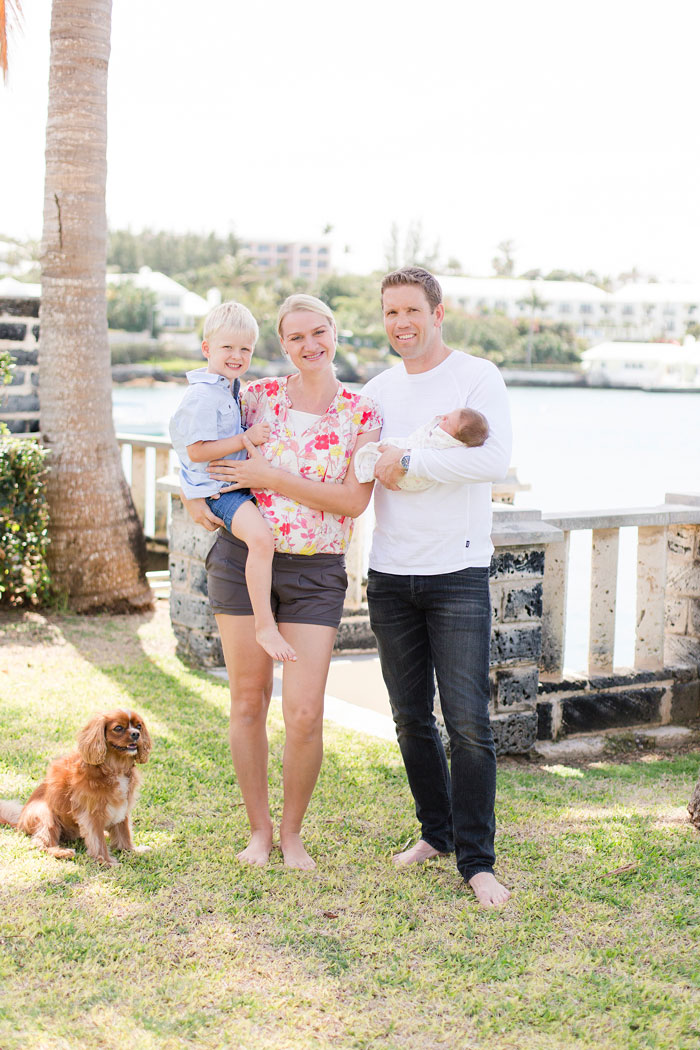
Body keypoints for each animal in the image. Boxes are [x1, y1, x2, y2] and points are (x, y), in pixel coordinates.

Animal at [0, 709, 152, 865]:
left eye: (139, 726)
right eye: (118, 728)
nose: (136, 734)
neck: (115, 768)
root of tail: (19, 822)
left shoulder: (122, 808)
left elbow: (124, 832)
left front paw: (130, 850)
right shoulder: (92, 813)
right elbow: (98, 841)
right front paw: (106, 861)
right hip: (45, 813)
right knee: (41, 843)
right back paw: (62, 852)